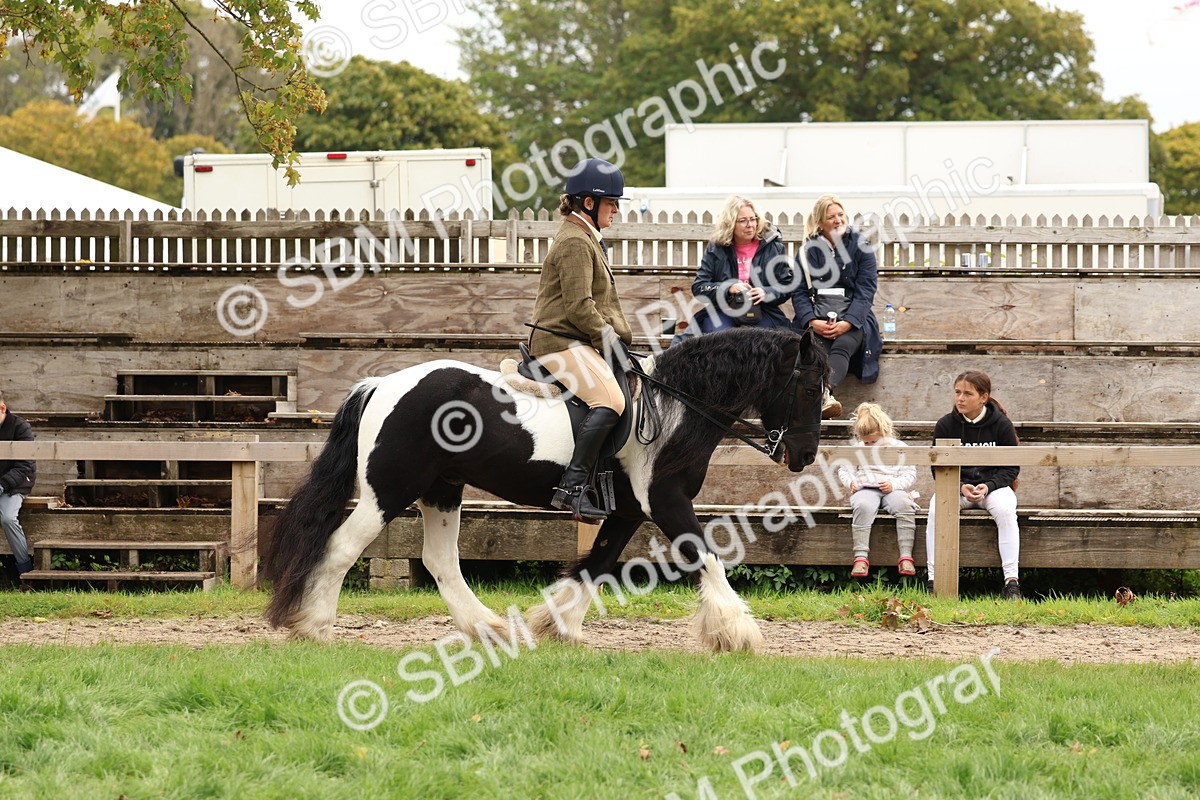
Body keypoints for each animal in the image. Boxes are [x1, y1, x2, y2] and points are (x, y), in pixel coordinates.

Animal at [263, 326, 828, 653]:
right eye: (808, 386)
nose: (803, 456)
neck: (676, 408)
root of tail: (381, 384)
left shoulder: (627, 512)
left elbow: (598, 564)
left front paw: (559, 626)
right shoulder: (666, 502)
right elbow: (708, 557)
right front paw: (738, 633)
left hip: (442, 489)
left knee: (441, 561)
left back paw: (487, 629)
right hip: (389, 489)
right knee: (341, 548)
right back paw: (315, 626)